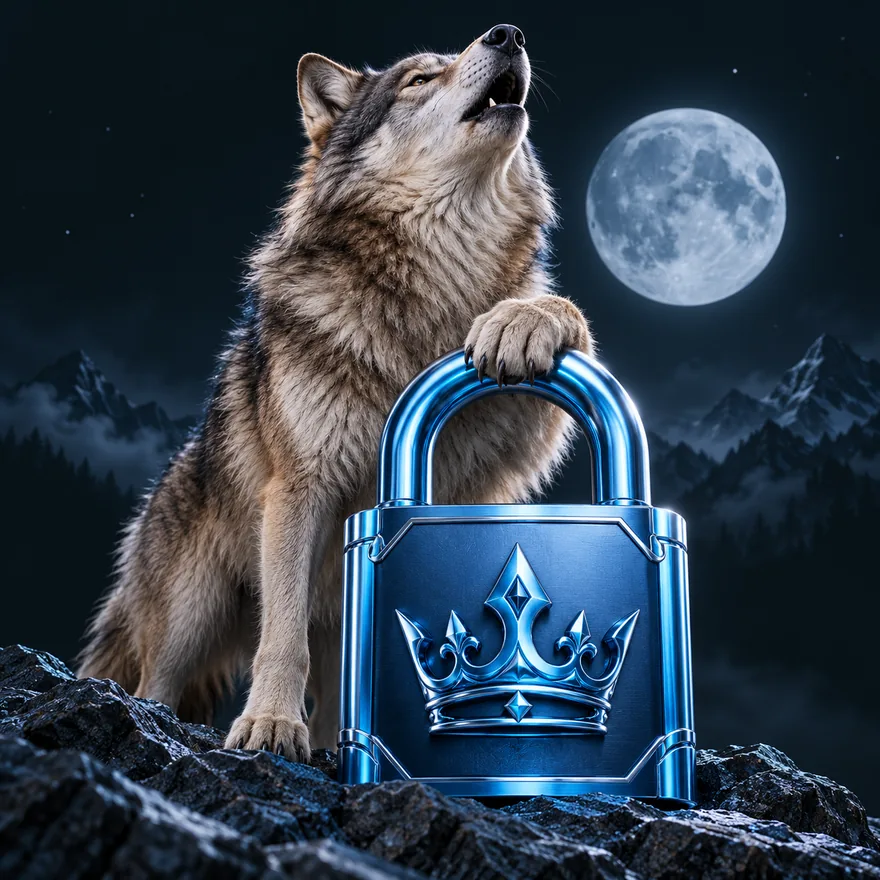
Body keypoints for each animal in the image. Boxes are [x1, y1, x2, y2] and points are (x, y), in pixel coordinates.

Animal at [76, 23, 596, 761]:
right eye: (419, 79)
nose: (509, 34)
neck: (435, 286)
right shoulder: (301, 489)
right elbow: (280, 637)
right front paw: (269, 723)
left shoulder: (521, 437)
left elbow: (563, 311)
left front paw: (520, 321)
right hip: (193, 608)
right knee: (159, 682)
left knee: (332, 697)